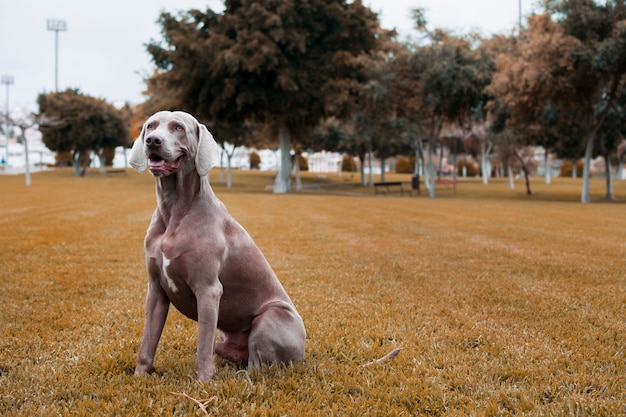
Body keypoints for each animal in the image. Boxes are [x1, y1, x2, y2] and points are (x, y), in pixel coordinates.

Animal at [130, 110, 306, 380]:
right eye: (150, 126)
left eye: (178, 127)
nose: (152, 141)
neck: (175, 211)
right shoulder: (156, 290)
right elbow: (148, 343)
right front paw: (140, 376)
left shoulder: (208, 290)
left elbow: (202, 345)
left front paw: (203, 382)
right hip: (227, 340)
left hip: (269, 317)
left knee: (256, 366)